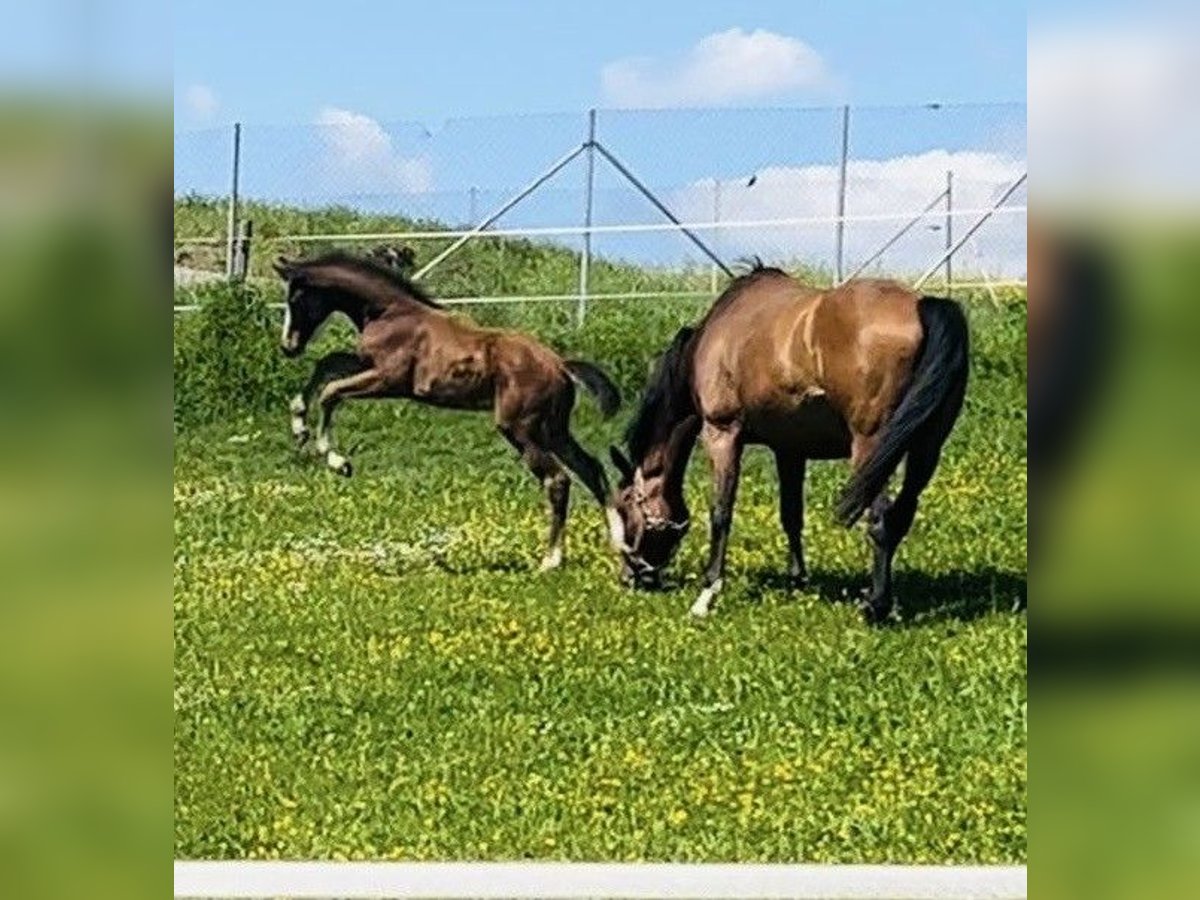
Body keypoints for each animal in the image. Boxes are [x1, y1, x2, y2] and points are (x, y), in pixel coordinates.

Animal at [273, 250, 628, 571]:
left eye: (296, 298)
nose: (288, 347)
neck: (389, 313)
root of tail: (561, 366)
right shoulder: (366, 364)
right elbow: (327, 364)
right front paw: (299, 427)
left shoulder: (388, 379)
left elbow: (330, 392)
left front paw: (336, 460)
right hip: (553, 429)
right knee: (591, 468)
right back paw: (619, 541)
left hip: (521, 429)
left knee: (558, 480)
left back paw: (551, 560)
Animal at [609, 264, 964, 624]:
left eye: (626, 508)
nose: (631, 577)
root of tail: (922, 306)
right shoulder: (789, 450)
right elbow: (791, 515)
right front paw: (797, 581)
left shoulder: (722, 434)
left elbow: (721, 512)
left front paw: (707, 594)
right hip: (925, 450)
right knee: (900, 516)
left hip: (872, 450)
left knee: (880, 520)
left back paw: (875, 606)